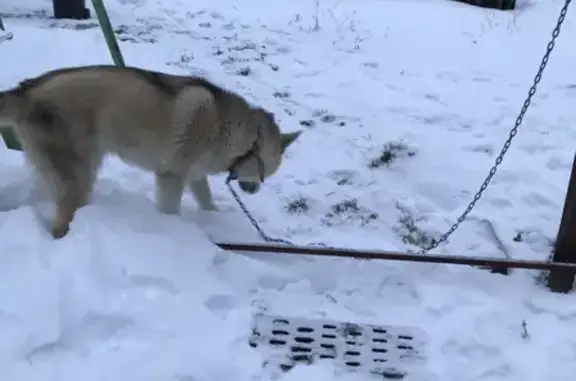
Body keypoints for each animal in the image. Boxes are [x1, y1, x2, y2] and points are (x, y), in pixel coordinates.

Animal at [0, 65, 304, 238]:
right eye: (267, 171)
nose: (255, 190)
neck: (238, 135)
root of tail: (25, 91)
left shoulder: (195, 176)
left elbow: (206, 199)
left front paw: (214, 218)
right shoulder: (171, 176)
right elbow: (170, 210)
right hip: (77, 175)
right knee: (62, 220)